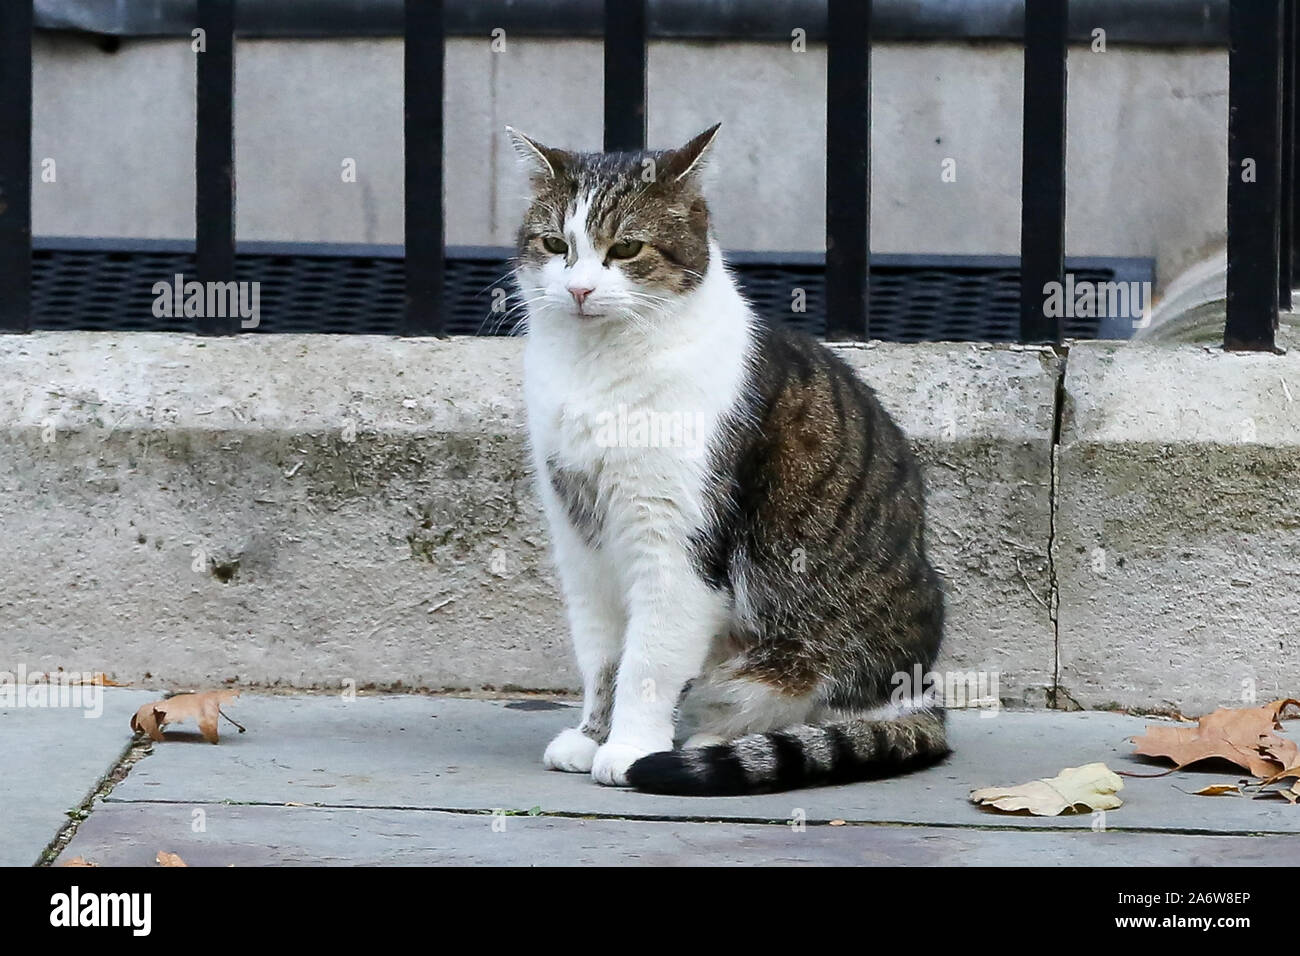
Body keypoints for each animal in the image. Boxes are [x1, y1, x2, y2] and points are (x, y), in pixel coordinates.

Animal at [506, 123, 946, 790]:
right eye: (556, 244)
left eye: (626, 247)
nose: (579, 289)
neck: (596, 368)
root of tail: (920, 700)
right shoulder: (580, 543)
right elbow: (602, 656)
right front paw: (592, 736)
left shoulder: (677, 546)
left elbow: (648, 661)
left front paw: (630, 749)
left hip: (803, 654)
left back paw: (708, 747)